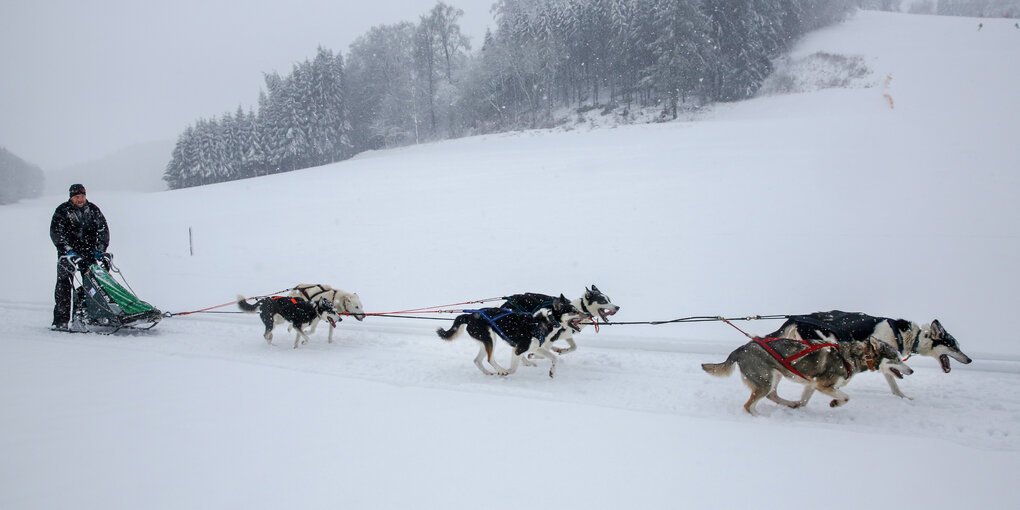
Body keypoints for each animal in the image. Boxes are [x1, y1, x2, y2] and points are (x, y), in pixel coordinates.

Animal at [434, 295, 587, 379]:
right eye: (574, 311)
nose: (586, 314)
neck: (543, 321)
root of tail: (470, 315)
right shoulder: (518, 350)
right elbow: (513, 369)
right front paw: (507, 371)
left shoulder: (536, 348)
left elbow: (554, 358)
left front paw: (552, 372)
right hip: (490, 338)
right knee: (490, 359)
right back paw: (501, 370)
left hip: (487, 340)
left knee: (477, 360)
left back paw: (489, 373)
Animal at [705, 334, 913, 414]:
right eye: (895, 358)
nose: (911, 370)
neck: (852, 355)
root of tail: (740, 349)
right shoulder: (823, 385)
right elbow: (846, 397)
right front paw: (835, 403)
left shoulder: (811, 384)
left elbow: (805, 401)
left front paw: (799, 406)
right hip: (766, 380)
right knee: (749, 405)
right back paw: (760, 417)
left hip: (774, 376)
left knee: (772, 395)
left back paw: (790, 403)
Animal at [767, 310, 971, 397]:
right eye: (954, 346)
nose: (969, 360)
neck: (904, 335)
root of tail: (794, 318)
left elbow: (893, 381)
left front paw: (902, 396)